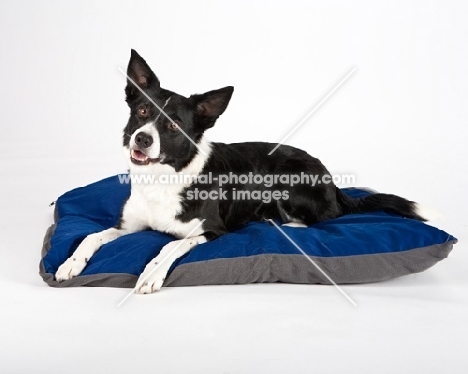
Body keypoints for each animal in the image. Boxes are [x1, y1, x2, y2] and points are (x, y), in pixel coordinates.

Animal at [56, 49, 434, 294]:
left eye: (174, 125)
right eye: (142, 110)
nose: (142, 138)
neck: (163, 178)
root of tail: (331, 180)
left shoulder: (212, 230)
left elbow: (170, 246)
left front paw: (152, 273)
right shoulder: (127, 226)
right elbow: (92, 236)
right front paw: (71, 263)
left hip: (291, 183)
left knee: (318, 220)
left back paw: (277, 222)